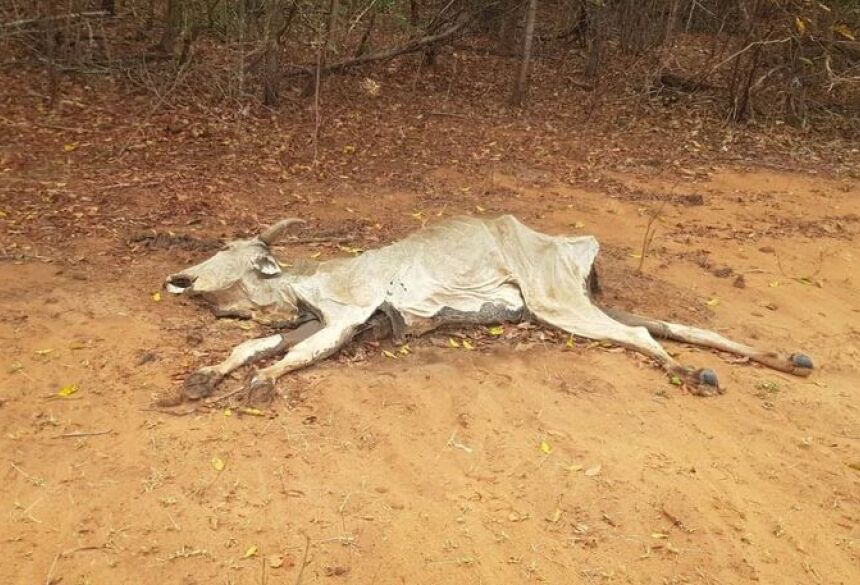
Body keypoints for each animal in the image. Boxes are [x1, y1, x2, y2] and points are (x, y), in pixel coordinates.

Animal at [166, 217, 812, 400]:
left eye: (230, 250)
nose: (180, 278)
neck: (304, 282)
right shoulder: (310, 320)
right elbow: (251, 345)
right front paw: (204, 377)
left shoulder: (345, 317)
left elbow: (289, 357)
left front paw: (262, 383)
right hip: (571, 302)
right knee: (677, 326)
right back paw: (783, 360)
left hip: (555, 302)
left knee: (644, 339)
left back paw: (691, 374)